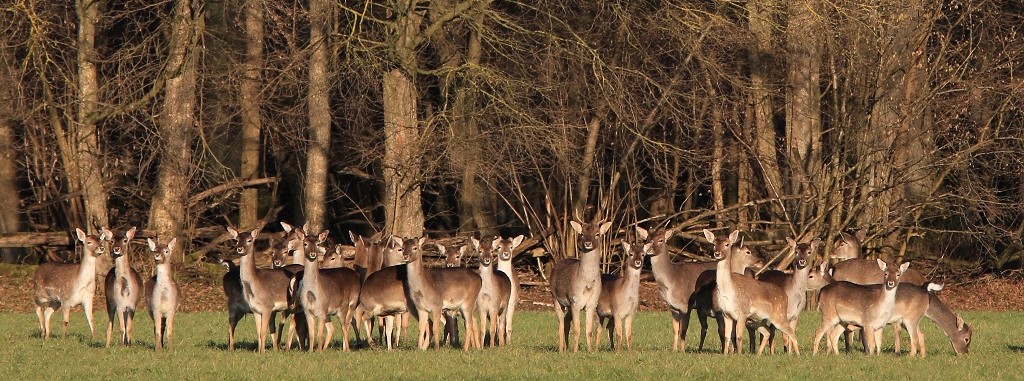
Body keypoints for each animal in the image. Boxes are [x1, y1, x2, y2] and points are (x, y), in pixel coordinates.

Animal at [225, 224, 288, 352]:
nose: (240, 249)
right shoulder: (255, 310)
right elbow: (258, 332)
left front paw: (263, 352)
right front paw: (259, 351)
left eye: (249, 240)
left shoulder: (268, 306)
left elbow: (263, 331)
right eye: (237, 240)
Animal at [552, 220, 606, 354]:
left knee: (566, 322)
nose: (588, 243)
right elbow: (577, 330)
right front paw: (575, 352)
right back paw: (561, 350)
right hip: (555, 298)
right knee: (560, 324)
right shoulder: (575, 301)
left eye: (597, 234)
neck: (587, 284)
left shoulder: (591, 304)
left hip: (568, 305)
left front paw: (590, 351)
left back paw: (566, 348)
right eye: (582, 234)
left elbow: (589, 331)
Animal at [704, 227, 798, 356]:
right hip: (757, 319)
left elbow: (738, 336)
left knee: (791, 332)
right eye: (714, 244)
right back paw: (758, 354)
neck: (729, 292)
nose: (717, 253)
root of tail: (785, 296)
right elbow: (727, 336)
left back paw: (797, 355)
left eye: (727, 244)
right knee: (768, 331)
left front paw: (738, 355)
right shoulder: (726, 314)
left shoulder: (742, 312)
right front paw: (725, 354)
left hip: (778, 314)